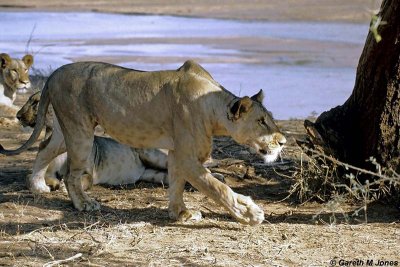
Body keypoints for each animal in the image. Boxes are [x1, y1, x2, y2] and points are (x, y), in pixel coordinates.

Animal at [1, 60, 286, 226]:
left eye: (270, 118)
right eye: (261, 121)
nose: (283, 141)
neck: (212, 106)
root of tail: (53, 74)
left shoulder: (176, 153)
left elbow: (176, 185)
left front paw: (180, 214)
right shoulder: (188, 156)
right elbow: (218, 188)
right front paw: (249, 213)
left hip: (65, 129)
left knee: (43, 150)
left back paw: (38, 186)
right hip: (80, 131)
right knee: (72, 175)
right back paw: (84, 204)